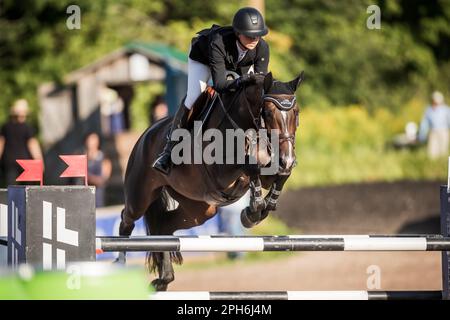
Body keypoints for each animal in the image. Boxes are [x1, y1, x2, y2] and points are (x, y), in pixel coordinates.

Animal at [118, 71, 304, 292]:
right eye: (267, 113)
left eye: (296, 113)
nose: (288, 159)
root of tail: (146, 133)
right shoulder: (221, 172)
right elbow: (250, 167)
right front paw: (253, 210)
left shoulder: (270, 170)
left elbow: (280, 176)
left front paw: (260, 208)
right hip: (140, 196)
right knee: (127, 218)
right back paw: (119, 265)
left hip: (200, 209)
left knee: (164, 227)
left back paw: (164, 279)